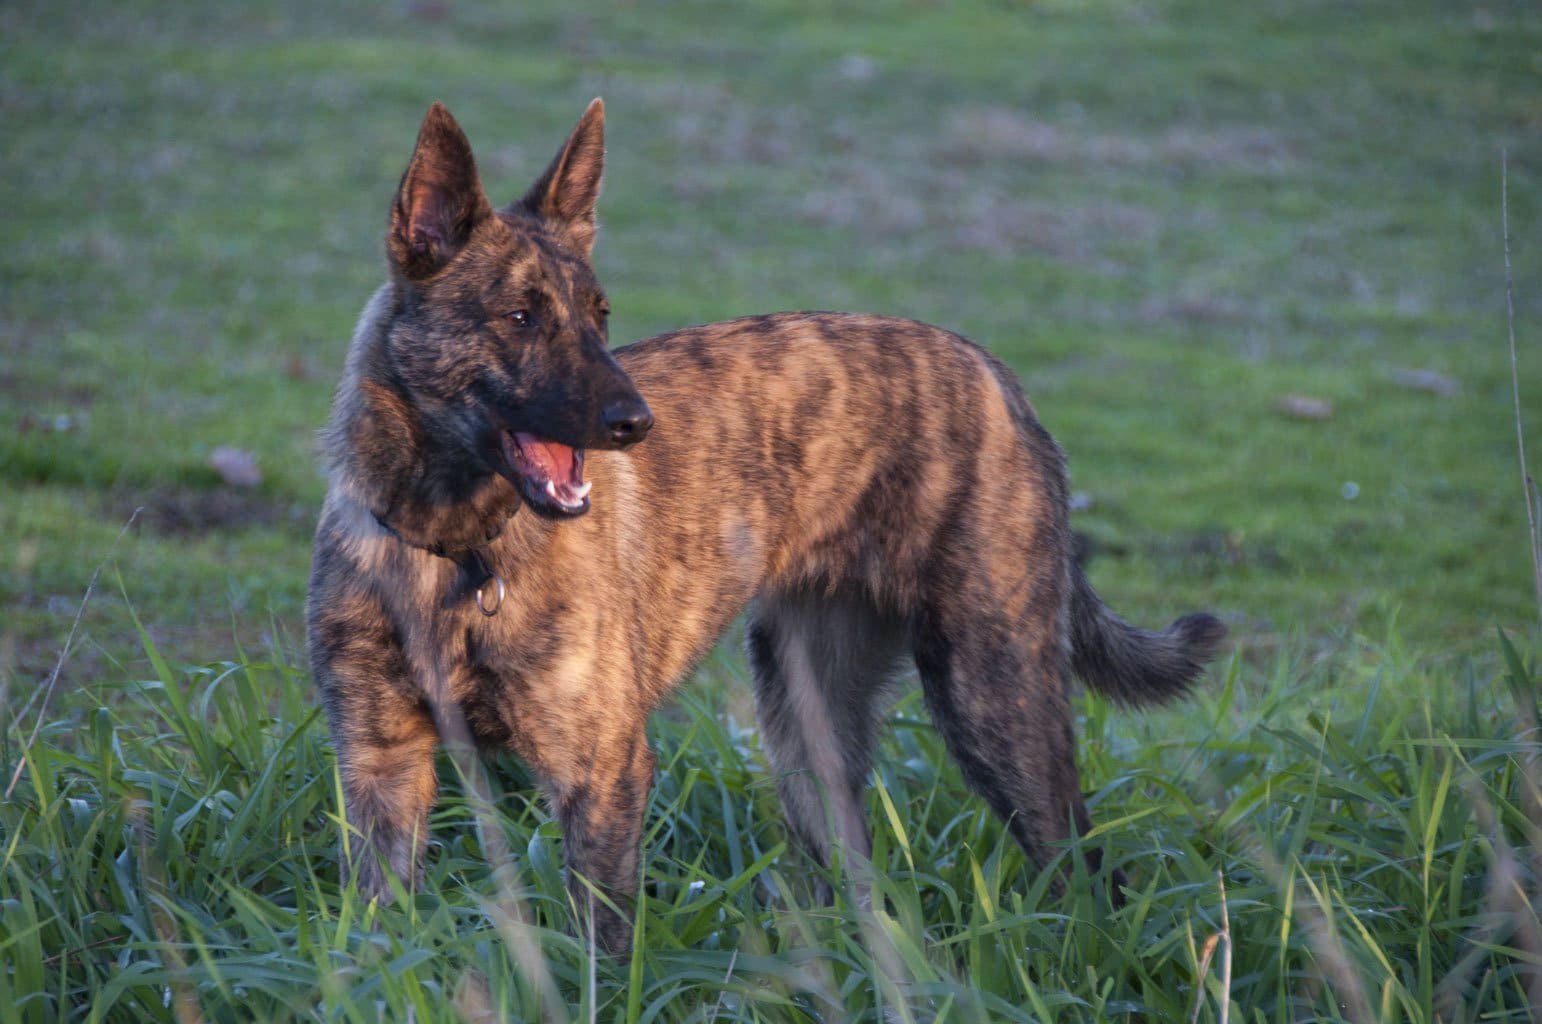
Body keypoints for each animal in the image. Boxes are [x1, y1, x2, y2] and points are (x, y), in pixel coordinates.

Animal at [306, 96, 1227, 949]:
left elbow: (599, 946)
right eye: (521, 316)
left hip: (996, 698)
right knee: (851, 873)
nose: (635, 424)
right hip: (807, 729)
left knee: (1084, 866)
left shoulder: (598, 771)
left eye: (601, 316)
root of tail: (998, 376)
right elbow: (377, 938)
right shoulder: (379, 768)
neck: (454, 549)